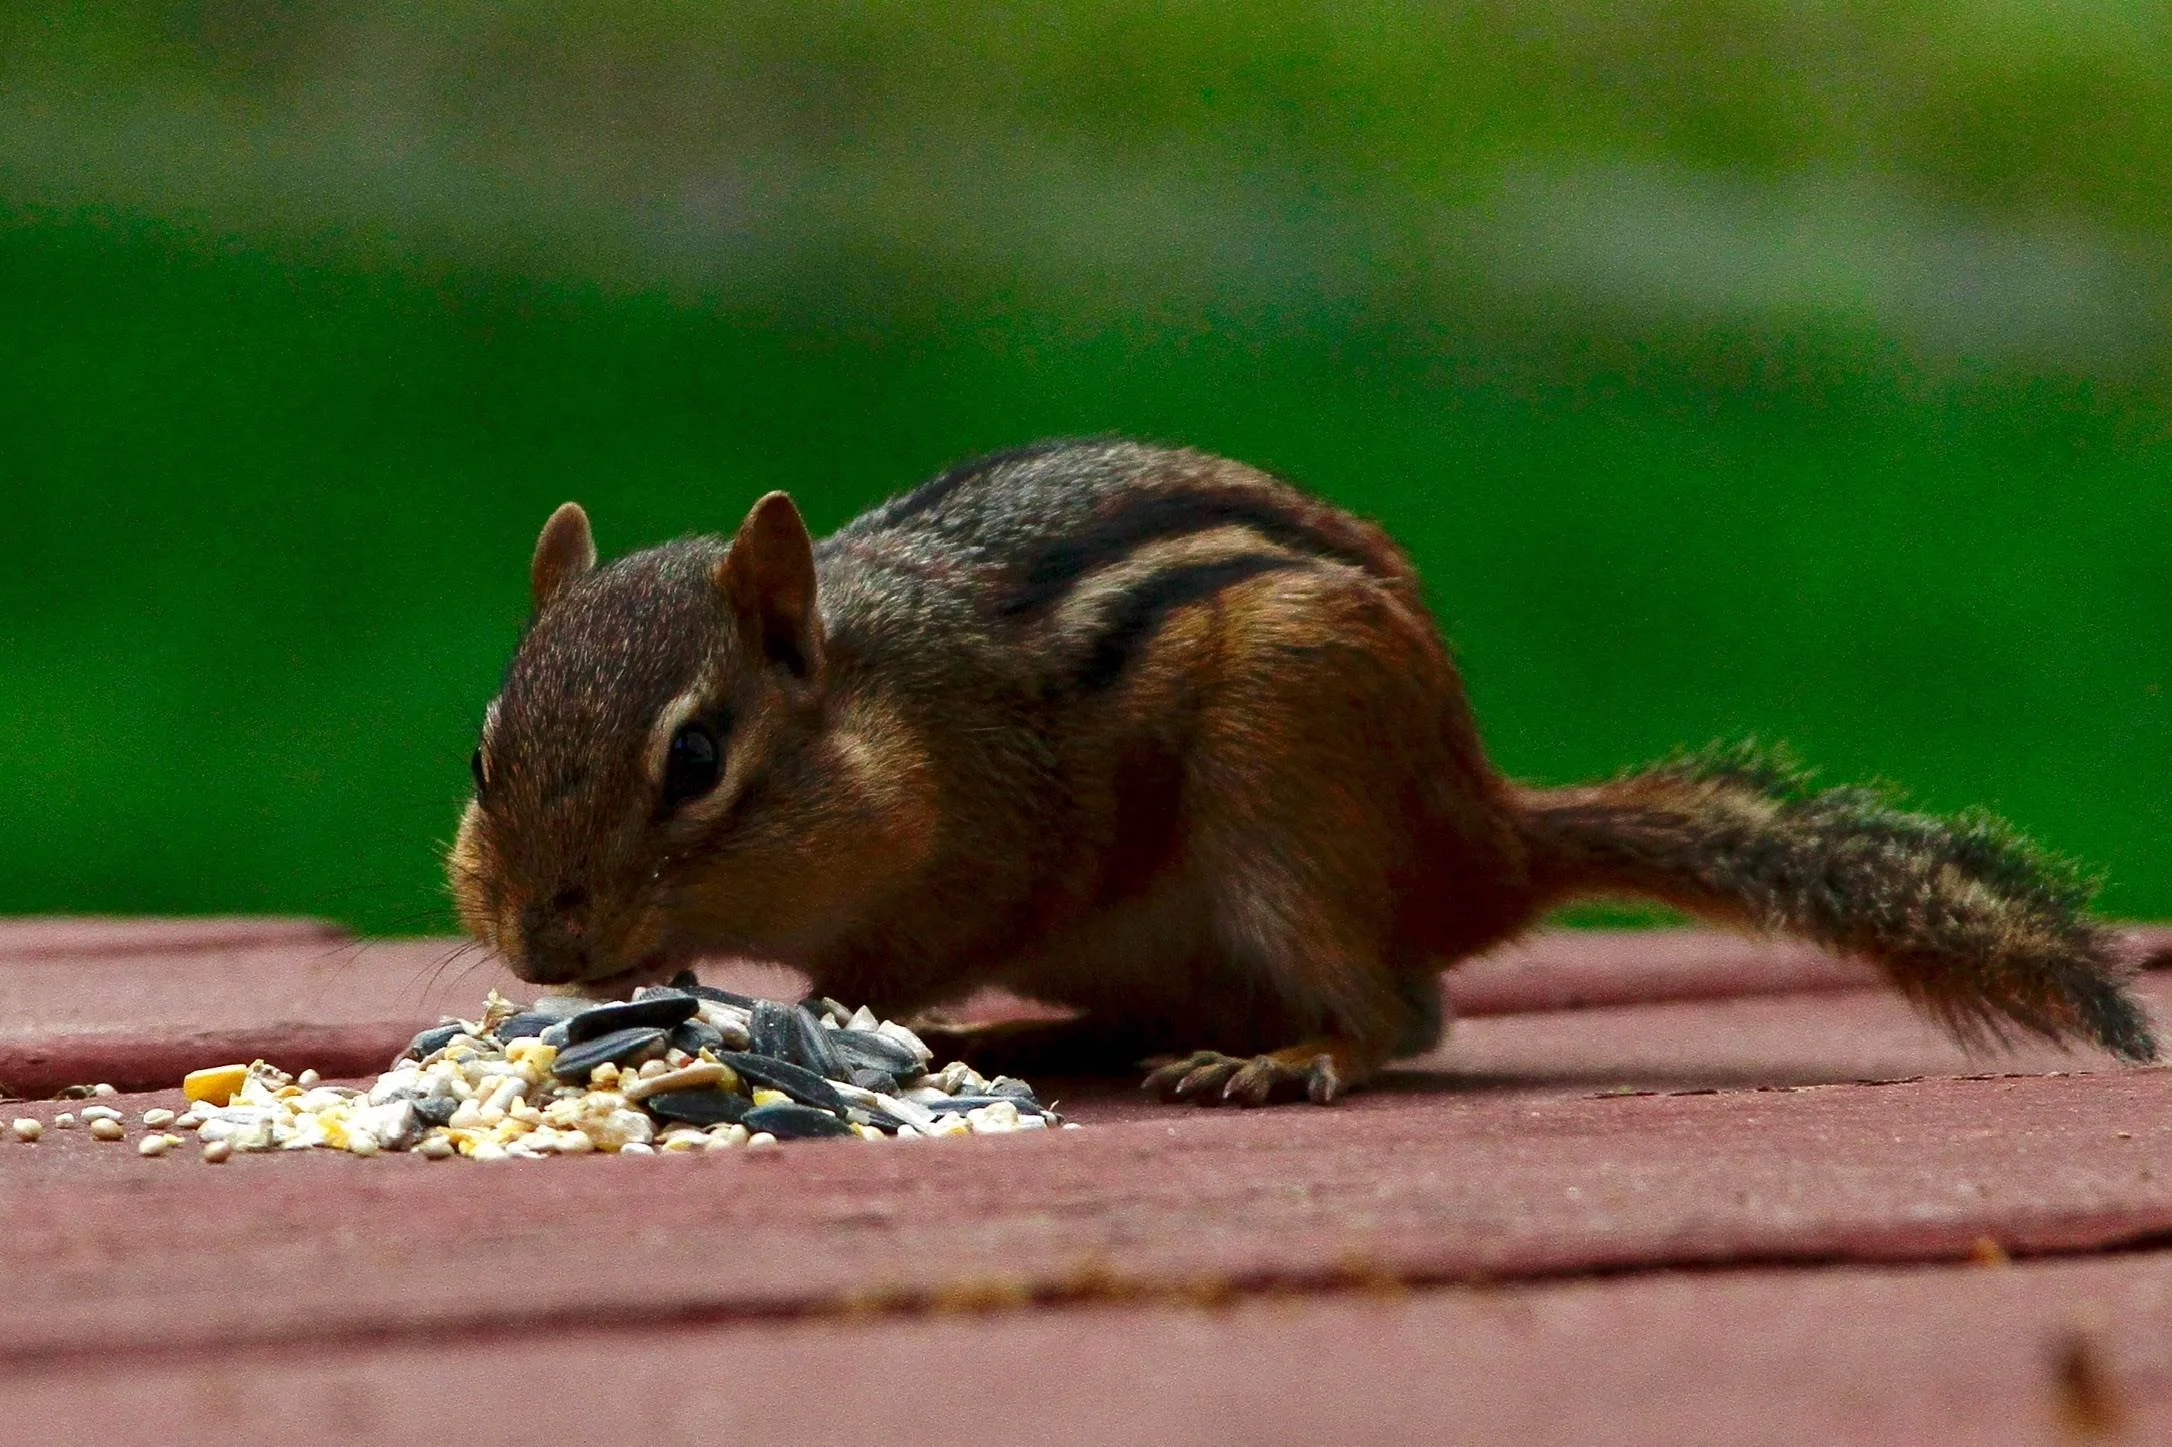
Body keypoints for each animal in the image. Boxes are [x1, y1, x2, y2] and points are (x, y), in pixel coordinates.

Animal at [448, 437, 2157, 1105]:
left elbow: (903, 952)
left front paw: (817, 1013)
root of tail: (1486, 830)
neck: (891, 700)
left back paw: (1281, 1058)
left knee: (1399, 1009)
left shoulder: (1003, 835)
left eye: (696, 756)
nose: (542, 934)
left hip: (1292, 790)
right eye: (482, 743)